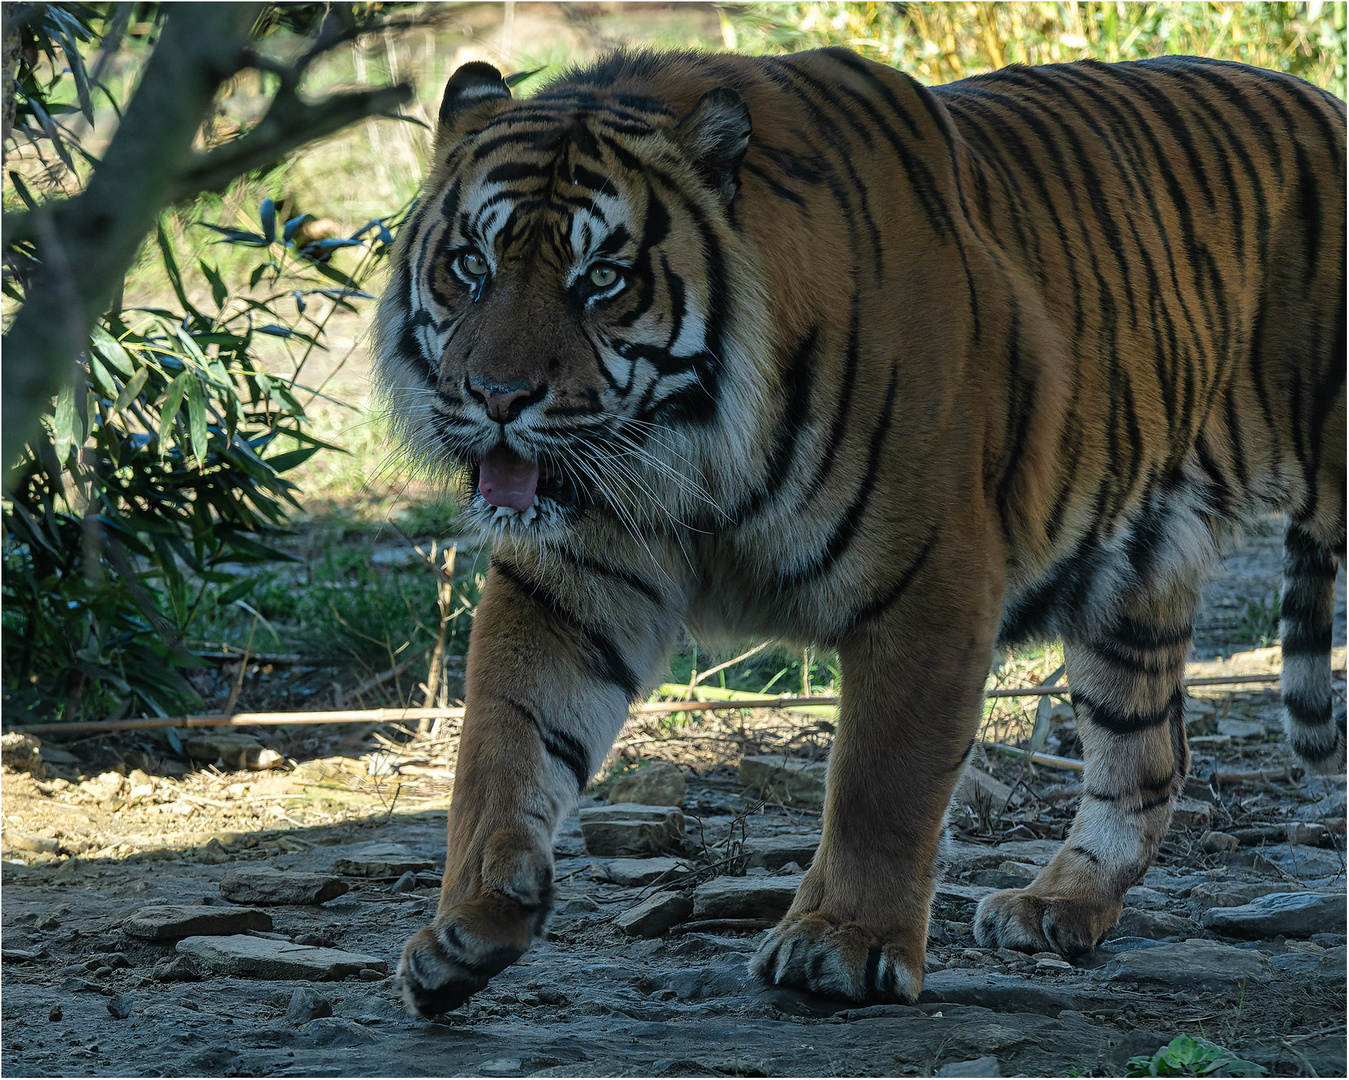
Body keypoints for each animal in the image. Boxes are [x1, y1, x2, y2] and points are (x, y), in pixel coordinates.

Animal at [372, 44, 1349, 1019]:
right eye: (469, 264)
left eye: (602, 279)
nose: (497, 398)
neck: (687, 452)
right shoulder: (568, 576)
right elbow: (504, 740)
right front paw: (470, 923)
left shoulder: (928, 579)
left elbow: (882, 782)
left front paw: (840, 945)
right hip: (1133, 572)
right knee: (1146, 754)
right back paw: (1056, 904)